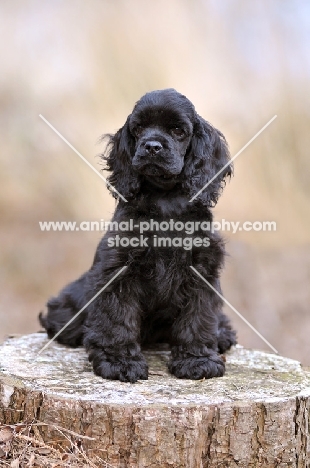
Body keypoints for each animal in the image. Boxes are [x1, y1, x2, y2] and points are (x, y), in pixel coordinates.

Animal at [40, 89, 236, 382]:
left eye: (178, 130)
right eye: (139, 128)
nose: (152, 146)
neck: (165, 198)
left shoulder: (202, 270)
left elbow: (197, 320)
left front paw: (197, 360)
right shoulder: (119, 270)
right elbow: (116, 320)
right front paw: (119, 362)